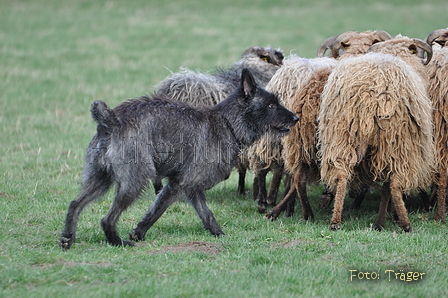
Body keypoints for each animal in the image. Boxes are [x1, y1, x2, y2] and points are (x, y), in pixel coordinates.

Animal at [59, 69, 298, 249]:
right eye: (271, 105)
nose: (296, 117)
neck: (227, 123)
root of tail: (112, 120)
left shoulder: (192, 187)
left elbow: (207, 214)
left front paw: (219, 234)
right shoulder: (178, 184)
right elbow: (157, 210)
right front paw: (139, 233)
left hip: (100, 179)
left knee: (75, 204)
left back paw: (68, 237)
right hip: (134, 183)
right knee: (107, 219)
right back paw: (117, 242)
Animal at [318, 34, 438, 230]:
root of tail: (370, 93)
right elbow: (389, 186)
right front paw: (392, 216)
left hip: (342, 133)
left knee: (341, 174)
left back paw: (336, 220)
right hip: (395, 141)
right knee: (394, 183)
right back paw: (402, 224)